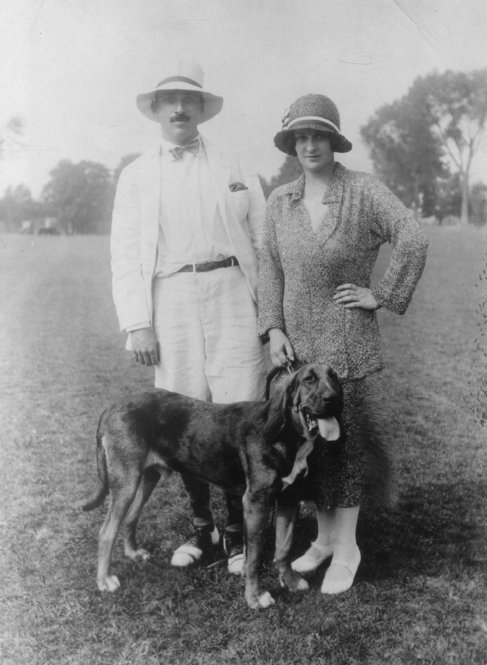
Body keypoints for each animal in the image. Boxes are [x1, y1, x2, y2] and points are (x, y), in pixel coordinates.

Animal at [83, 364, 344, 608]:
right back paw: (105, 579)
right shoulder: (256, 503)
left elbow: (284, 549)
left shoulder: (289, 499)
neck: (285, 435)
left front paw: (289, 582)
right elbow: (254, 558)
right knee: (106, 532)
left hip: (146, 477)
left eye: (334, 377)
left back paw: (133, 553)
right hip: (126, 481)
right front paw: (255, 596)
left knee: (130, 517)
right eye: (309, 379)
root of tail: (113, 406)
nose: (332, 399)